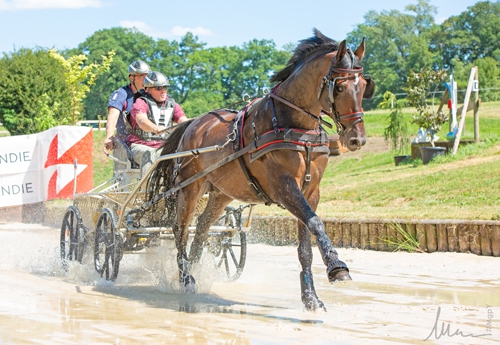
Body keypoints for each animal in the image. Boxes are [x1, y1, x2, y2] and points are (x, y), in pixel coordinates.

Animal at [148, 28, 376, 310]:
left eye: (364, 86)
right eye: (340, 87)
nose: (358, 139)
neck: (293, 124)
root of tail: (193, 124)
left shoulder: (311, 192)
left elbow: (306, 245)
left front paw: (310, 297)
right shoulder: (284, 188)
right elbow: (315, 222)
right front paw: (336, 266)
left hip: (221, 193)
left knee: (201, 228)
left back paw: (197, 269)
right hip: (189, 189)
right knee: (180, 229)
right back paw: (186, 278)